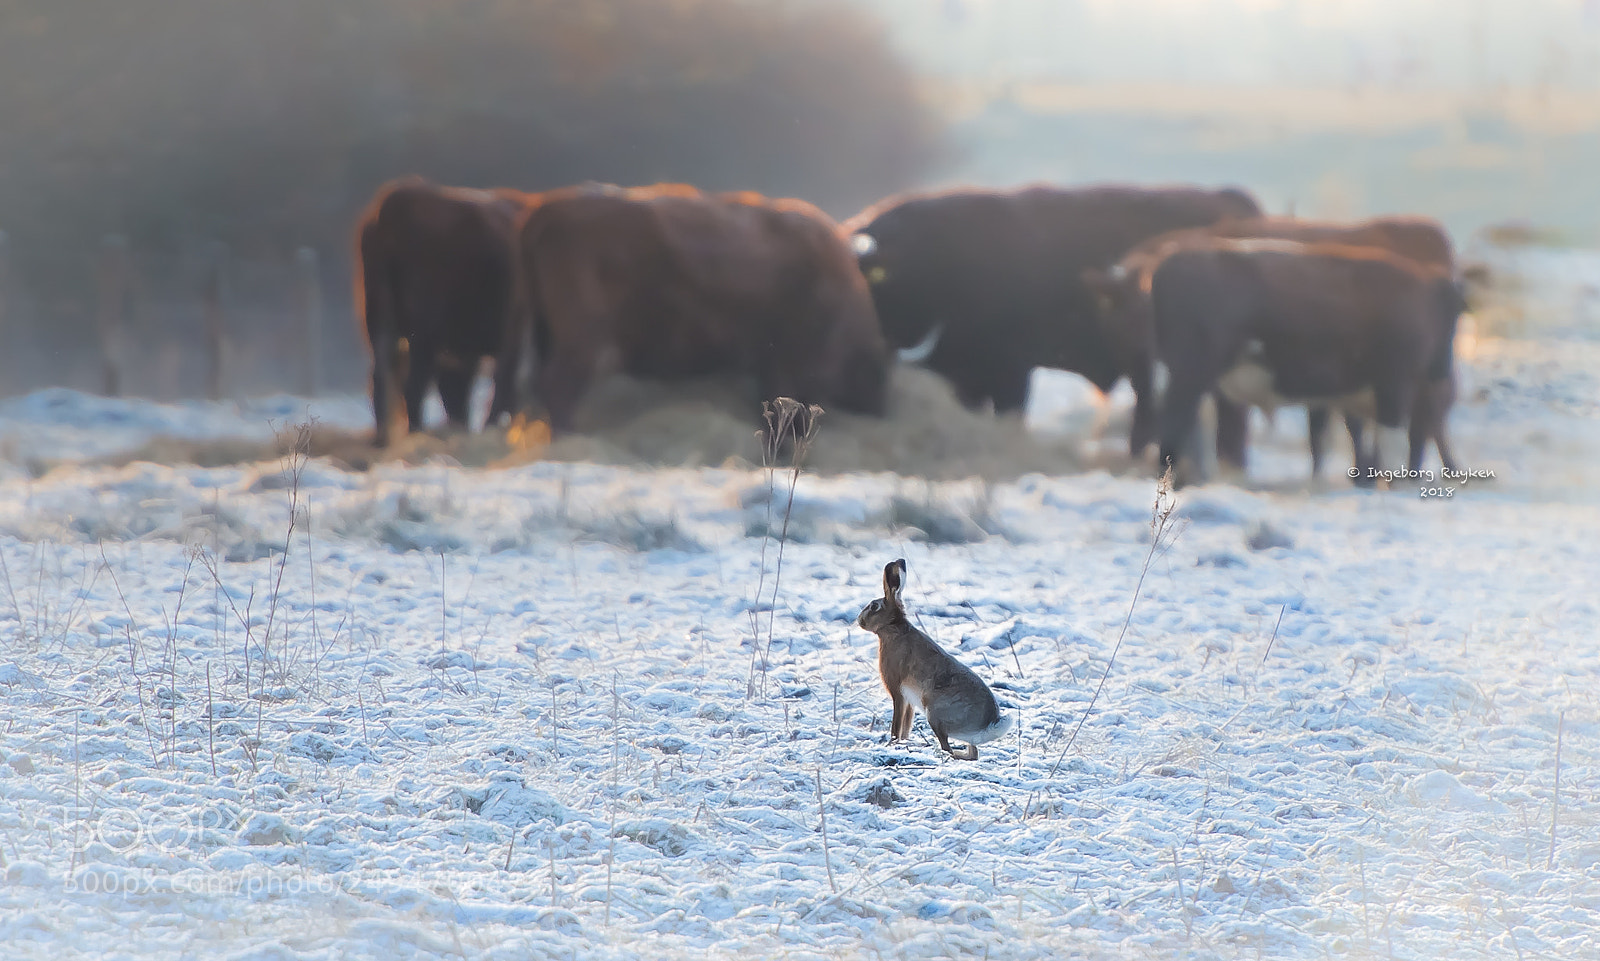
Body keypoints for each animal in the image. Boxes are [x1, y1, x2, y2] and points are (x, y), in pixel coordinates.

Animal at [354, 178, 530, 447]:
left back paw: (384, 438)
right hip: (423, 336)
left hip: (383, 323)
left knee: (384, 379)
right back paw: (415, 432)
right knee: (413, 385)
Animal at [1083, 215, 1460, 476]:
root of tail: (1164, 266)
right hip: (1190, 375)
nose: (1444, 369)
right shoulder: (1393, 387)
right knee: (1176, 426)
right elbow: (1387, 446)